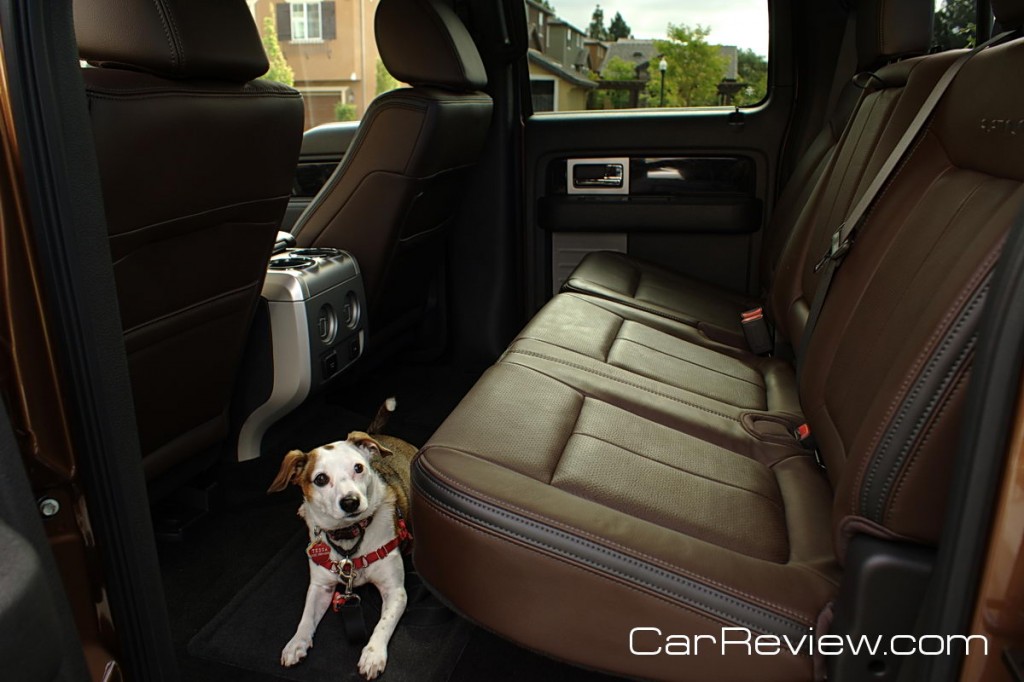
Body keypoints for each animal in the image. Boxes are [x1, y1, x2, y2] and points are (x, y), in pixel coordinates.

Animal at [272, 395, 419, 675]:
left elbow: (383, 624)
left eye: (358, 468)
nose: (350, 502)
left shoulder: (395, 591)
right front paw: (297, 642)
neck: (349, 539)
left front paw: (373, 654)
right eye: (320, 479)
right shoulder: (320, 587)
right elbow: (306, 617)